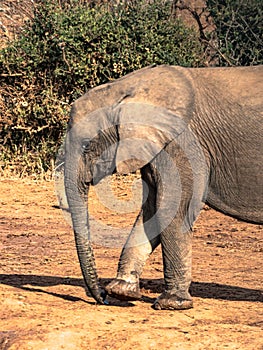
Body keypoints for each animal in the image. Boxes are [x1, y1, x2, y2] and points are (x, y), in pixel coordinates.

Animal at [58, 64, 262, 310]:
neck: (126, 88)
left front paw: (171, 303)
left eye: (87, 145)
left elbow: (171, 210)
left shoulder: (181, 143)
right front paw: (122, 291)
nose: (102, 298)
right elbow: (150, 212)